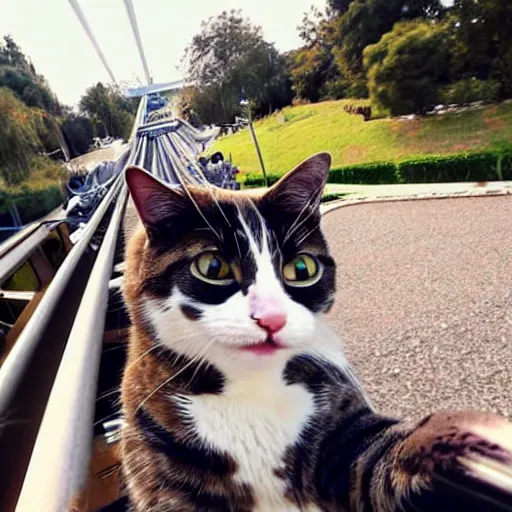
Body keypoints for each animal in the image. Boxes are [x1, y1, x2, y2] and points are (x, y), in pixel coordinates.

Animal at [121, 154, 512, 512]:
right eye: (212, 266)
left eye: (302, 268)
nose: (272, 318)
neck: (251, 391)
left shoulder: (341, 430)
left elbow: (383, 459)